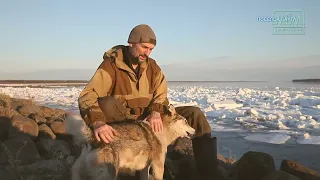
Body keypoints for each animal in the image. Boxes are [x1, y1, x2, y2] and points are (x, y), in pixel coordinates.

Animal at [65, 104, 195, 180]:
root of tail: (92, 137)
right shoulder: (158, 165)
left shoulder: (144, 168)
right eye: (186, 121)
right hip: (109, 175)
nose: (194, 131)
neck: (162, 131)